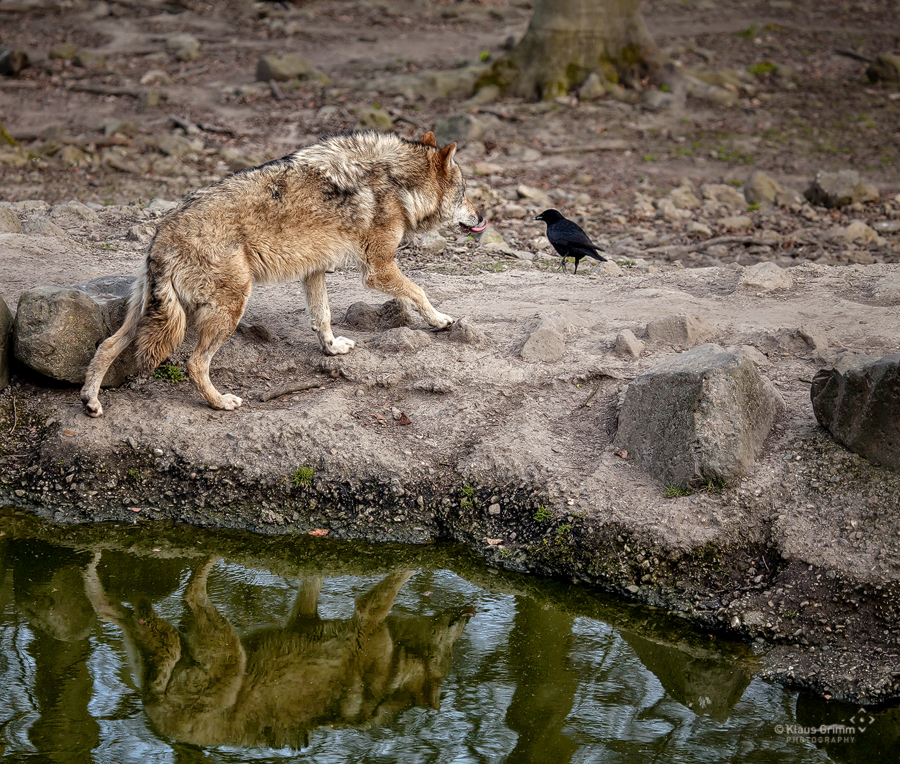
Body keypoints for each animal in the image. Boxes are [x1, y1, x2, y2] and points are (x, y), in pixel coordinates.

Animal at [81, 132, 486, 418]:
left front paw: (332, 348)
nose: (482, 217)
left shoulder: (314, 269)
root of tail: (162, 234)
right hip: (229, 309)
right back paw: (220, 402)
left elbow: (322, 317)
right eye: (465, 193)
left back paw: (91, 402)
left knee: (107, 346)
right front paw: (440, 321)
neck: (397, 181)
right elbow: (419, 292)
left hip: (147, 313)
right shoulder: (378, 269)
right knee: (194, 363)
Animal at [82, 552, 478, 748]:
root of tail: (156, 715)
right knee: (190, 592)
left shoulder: (304, 615)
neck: (396, 679)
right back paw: (208, 559)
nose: (469, 614)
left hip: (164, 645)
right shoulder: (368, 613)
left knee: (114, 611)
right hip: (225, 651)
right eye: (449, 651)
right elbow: (403, 573)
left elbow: (313, 577)